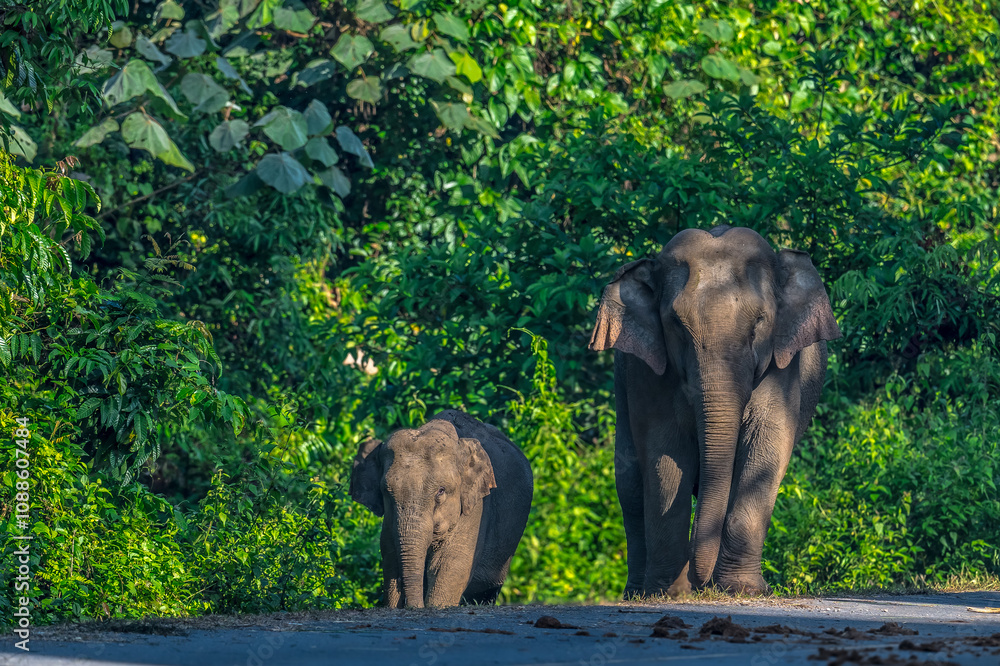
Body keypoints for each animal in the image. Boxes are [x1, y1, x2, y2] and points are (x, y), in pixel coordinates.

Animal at [350, 409, 533, 608]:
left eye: (441, 491)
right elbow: (390, 560)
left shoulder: (476, 509)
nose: (412, 605)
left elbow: (449, 566)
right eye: (386, 492)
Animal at [588, 226, 841, 597]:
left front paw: (743, 590)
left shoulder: (784, 369)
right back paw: (639, 591)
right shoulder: (646, 373)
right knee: (631, 483)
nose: (700, 582)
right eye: (676, 324)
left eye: (761, 321)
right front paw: (670, 592)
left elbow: (765, 451)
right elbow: (664, 455)